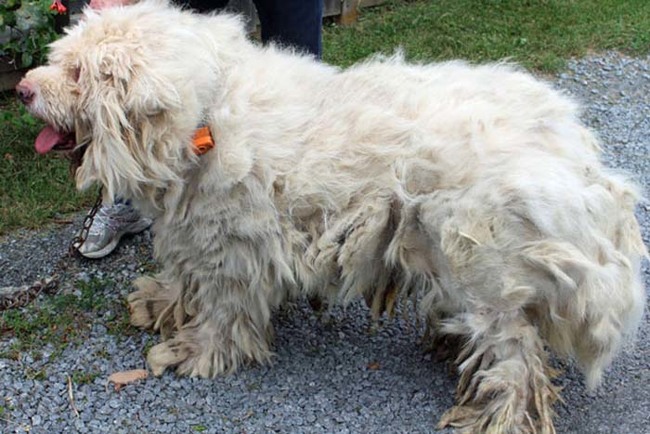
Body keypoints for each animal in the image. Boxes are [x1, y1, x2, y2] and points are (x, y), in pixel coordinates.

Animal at [15, 1, 644, 432]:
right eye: (60, 60)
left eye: (78, 74)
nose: (21, 87)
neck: (203, 117)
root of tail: (579, 154)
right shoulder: (198, 233)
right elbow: (184, 281)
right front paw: (162, 305)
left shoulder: (233, 250)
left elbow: (221, 312)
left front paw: (196, 353)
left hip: (486, 273)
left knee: (516, 358)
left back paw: (498, 414)